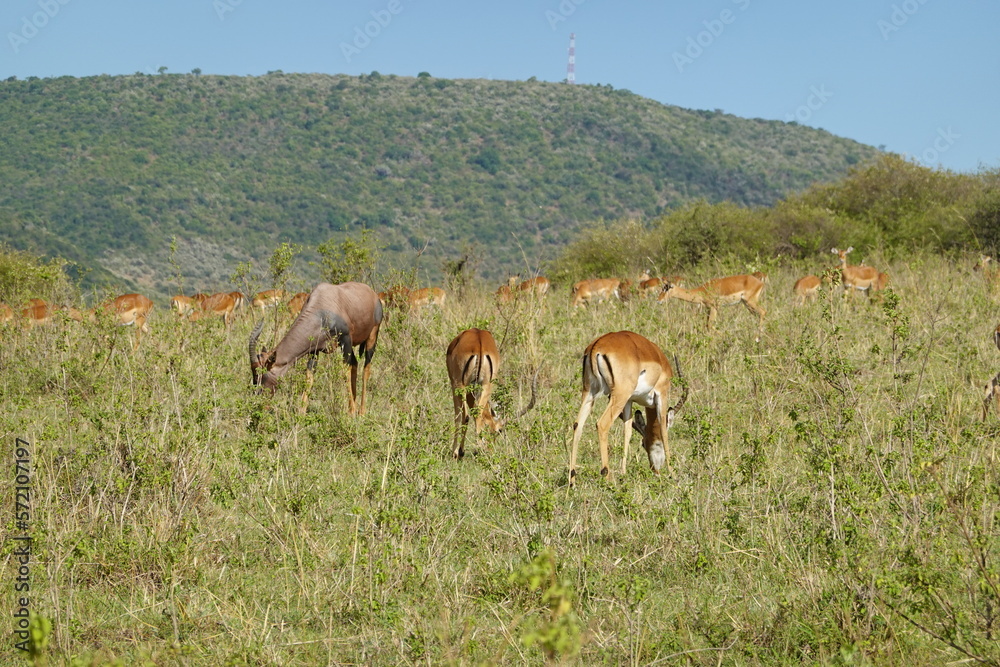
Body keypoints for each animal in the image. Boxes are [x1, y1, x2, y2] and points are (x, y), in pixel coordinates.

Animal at [249, 282, 383, 416]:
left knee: (366, 369)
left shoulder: (345, 340)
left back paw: (361, 411)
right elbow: (309, 376)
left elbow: (345, 372)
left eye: (263, 374)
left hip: (372, 335)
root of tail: (373, 294)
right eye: (254, 375)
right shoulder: (314, 350)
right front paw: (301, 413)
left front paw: (352, 412)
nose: (259, 405)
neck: (321, 310)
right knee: (355, 363)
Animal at [445, 328, 537, 459]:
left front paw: (456, 452)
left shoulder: (454, 383)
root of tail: (479, 344)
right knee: (477, 414)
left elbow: (458, 416)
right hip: (487, 384)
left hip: (460, 385)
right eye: (499, 430)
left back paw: (460, 452)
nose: (490, 449)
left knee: (466, 416)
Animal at [568, 331, 687, 486]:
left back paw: (572, 480)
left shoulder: (629, 401)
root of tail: (596, 346)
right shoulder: (662, 395)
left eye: (643, 443)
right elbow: (663, 429)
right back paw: (607, 476)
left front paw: (623, 473)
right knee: (602, 424)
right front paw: (672, 473)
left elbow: (627, 431)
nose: (655, 470)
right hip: (619, 395)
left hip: (589, 393)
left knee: (577, 425)